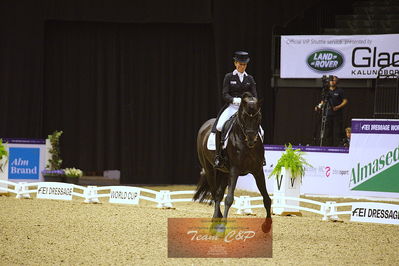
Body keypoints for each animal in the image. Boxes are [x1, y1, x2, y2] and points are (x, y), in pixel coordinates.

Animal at [193, 92, 272, 233]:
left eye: (259, 117)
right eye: (244, 117)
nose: (251, 140)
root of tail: (205, 125)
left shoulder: (257, 170)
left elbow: (266, 198)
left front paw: (267, 226)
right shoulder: (235, 170)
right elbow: (229, 198)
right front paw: (223, 227)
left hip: (225, 172)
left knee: (218, 194)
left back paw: (217, 219)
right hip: (209, 169)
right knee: (215, 193)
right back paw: (216, 221)